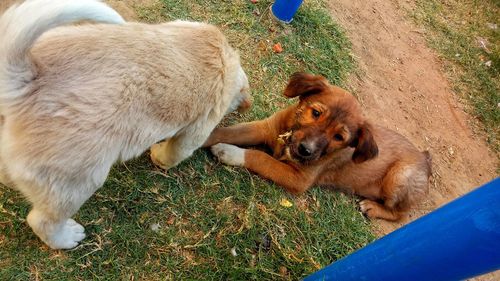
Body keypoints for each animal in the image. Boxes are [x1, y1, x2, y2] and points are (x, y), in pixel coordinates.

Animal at [0, 0, 250, 249]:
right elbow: (171, 155)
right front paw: (158, 154)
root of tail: (27, 79)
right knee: (42, 221)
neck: (222, 55)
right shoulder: (194, 134)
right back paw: (67, 238)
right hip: (75, 181)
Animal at [205, 72, 432, 221]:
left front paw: (228, 152)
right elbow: (228, 132)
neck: (288, 136)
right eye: (316, 113)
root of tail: (424, 158)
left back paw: (373, 208)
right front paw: (206, 137)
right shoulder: (265, 128)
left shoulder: (299, 179)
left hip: (400, 176)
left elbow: (260, 157)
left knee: (401, 215)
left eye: (339, 137)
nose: (305, 150)